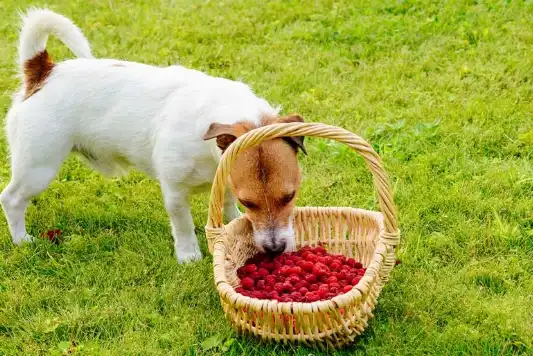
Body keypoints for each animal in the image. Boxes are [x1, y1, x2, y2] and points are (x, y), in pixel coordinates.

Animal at [0, 9, 306, 262]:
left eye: (290, 196)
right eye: (249, 202)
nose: (275, 248)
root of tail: (43, 71)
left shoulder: (226, 177)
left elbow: (228, 207)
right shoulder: (174, 192)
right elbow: (183, 225)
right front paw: (189, 256)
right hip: (38, 167)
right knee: (11, 199)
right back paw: (22, 240)